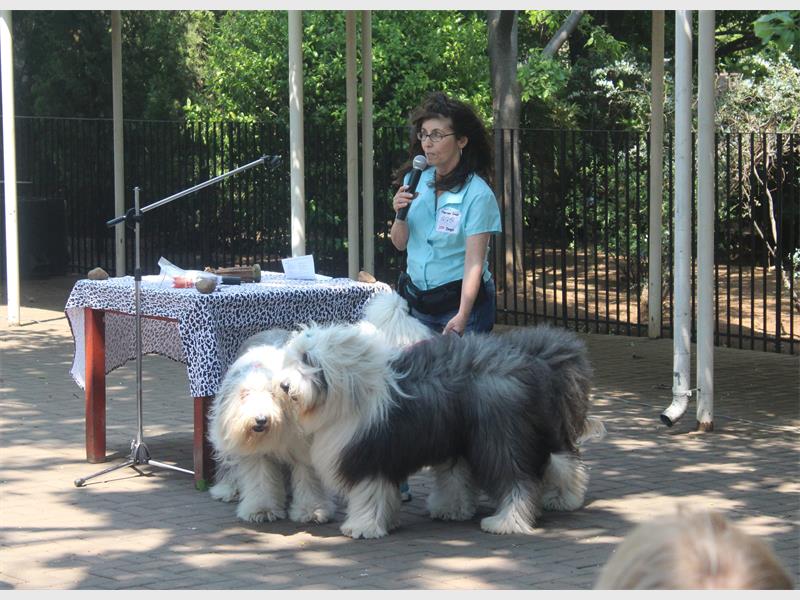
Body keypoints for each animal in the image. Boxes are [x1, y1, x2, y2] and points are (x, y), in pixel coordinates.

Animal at [208, 328, 334, 524]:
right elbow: (260, 480)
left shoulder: (304, 448)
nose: (260, 419)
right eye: (245, 394)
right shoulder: (256, 451)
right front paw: (261, 510)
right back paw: (228, 489)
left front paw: (311, 510)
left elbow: (309, 479)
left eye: (273, 394)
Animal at [276, 317, 600, 539]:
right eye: (295, 357)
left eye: (309, 360)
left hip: (499, 436)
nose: (284, 386)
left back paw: (505, 522)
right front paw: (388, 519)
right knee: (560, 460)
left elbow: (368, 493)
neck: (351, 393)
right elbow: (387, 493)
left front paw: (361, 527)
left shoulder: (369, 455)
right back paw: (562, 498)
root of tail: (528, 358)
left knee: (516, 479)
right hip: (511, 431)